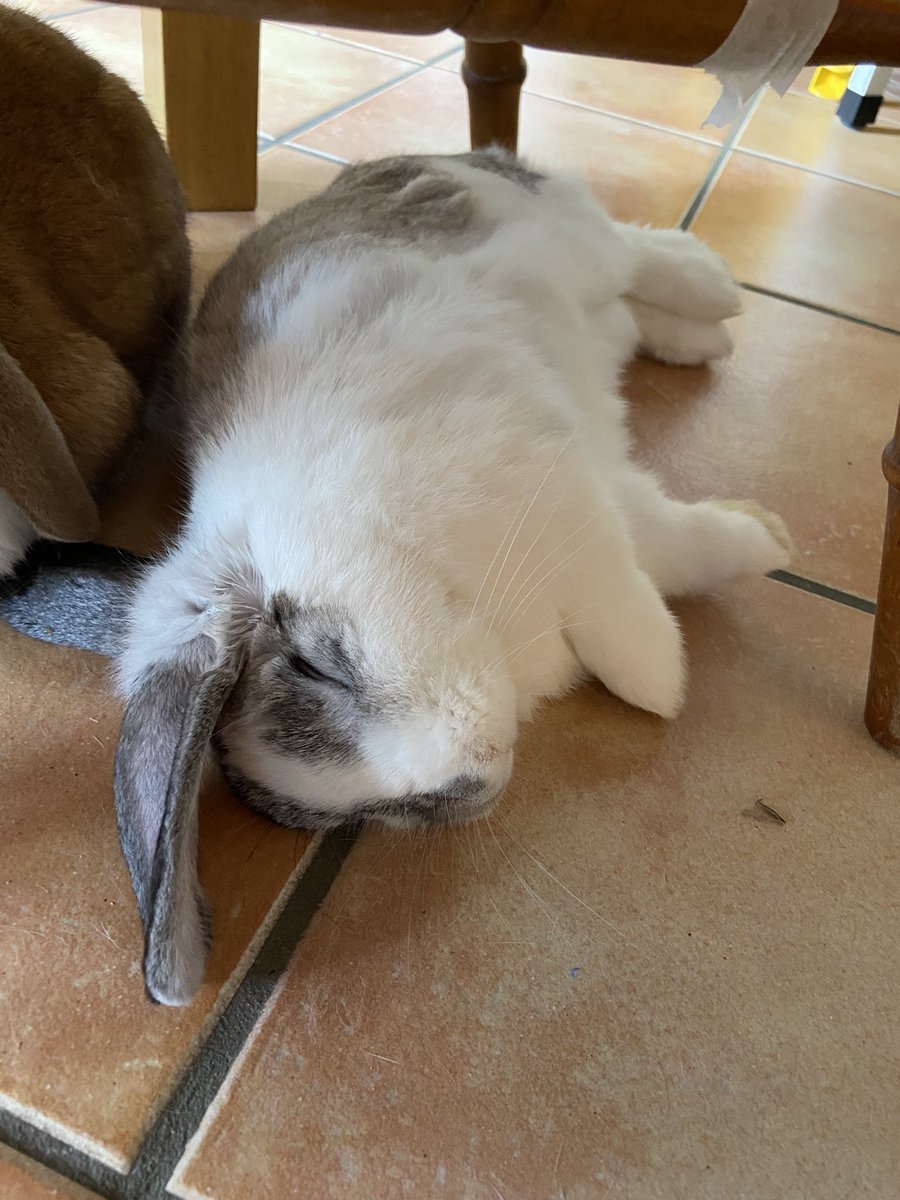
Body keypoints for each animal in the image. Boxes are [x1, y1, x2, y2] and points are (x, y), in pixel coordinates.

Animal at [0, 151, 793, 1005]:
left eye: (316, 664)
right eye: (381, 812)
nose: (481, 768)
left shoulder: (554, 482)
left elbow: (632, 603)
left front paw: (676, 662)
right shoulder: (586, 488)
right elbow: (661, 542)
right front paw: (761, 546)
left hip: (533, 227)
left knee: (624, 248)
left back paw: (711, 287)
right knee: (630, 309)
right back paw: (700, 337)